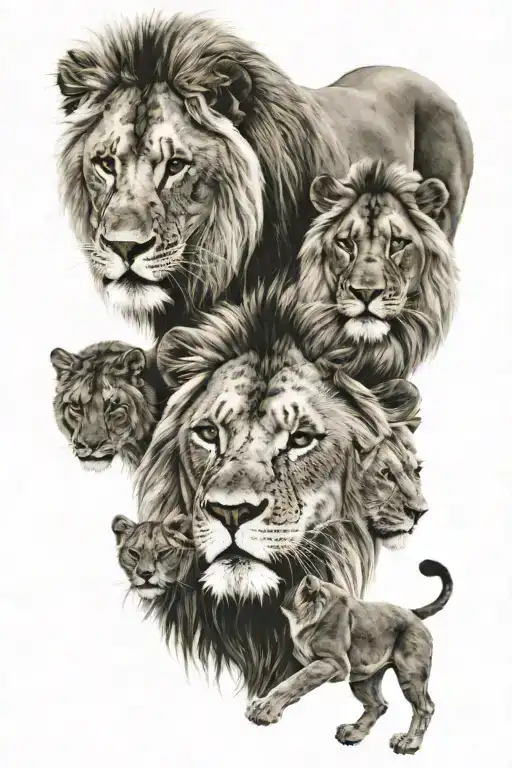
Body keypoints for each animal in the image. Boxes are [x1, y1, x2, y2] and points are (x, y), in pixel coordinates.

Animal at [245, 560, 453, 756]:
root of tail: (412, 612)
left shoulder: (333, 662)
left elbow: (294, 682)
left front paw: (263, 709)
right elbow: (291, 682)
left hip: (410, 675)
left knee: (424, 708)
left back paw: (409, 743)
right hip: (364, 679)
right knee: (378, 705)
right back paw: (354, 733)